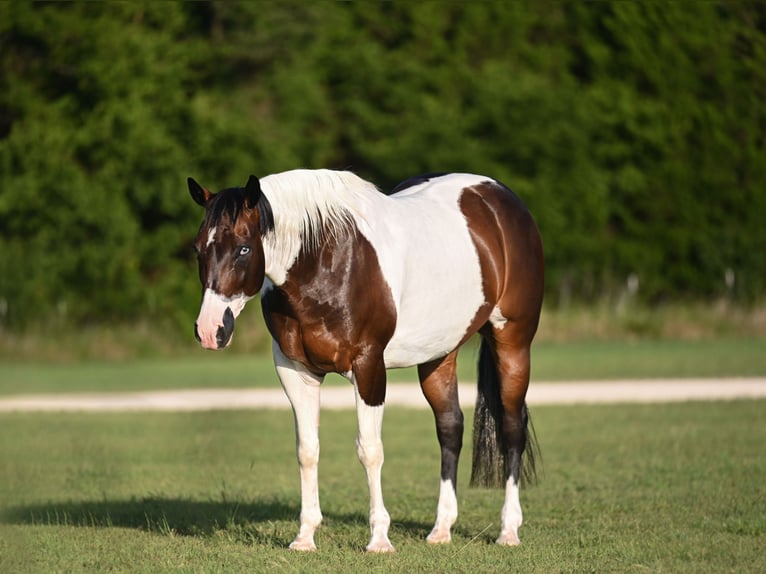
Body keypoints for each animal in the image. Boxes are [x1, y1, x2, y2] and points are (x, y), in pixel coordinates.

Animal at [188, 169, 544, 553]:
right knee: (450, 427)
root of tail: (500, 197)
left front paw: (379, 539)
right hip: (439, 353)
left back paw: (508, 530)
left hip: (513, 342)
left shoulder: (368, 366)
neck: (324, 261)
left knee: (512, 427)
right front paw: (305, 536)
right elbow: (307, 449)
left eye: (244, 248)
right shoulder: (296, 371)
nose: (210, 330)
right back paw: (441, 529)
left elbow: (370, 450)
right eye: (198, 249)